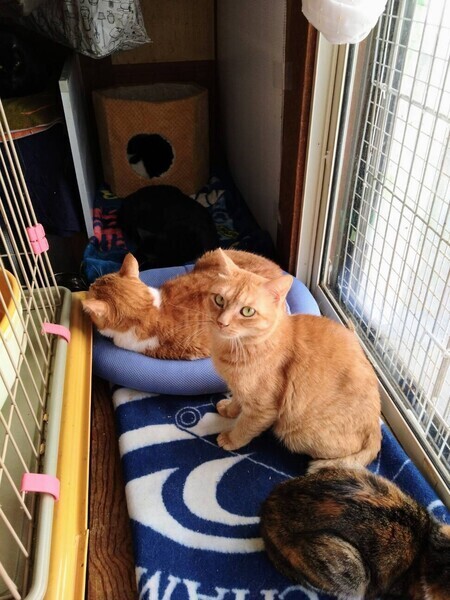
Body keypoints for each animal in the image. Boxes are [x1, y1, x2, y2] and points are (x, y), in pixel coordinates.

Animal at [207, 249, 381, 471]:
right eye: (219, 300)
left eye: (247, 311)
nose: (222, 322)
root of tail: (376, 428)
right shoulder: (240, 389)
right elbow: (237, 401)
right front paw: (229, 409)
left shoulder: (262, 408)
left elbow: (245, 426)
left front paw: (231, 439)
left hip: (295, 433)